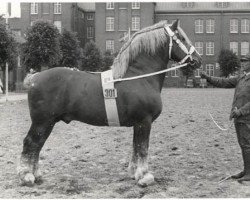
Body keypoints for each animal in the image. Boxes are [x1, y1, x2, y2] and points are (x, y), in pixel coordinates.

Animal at [17, 19, 201, 186]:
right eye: (182, 38)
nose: (197, 60)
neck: (140, 77)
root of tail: (34, 78)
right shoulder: (145, 121)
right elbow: (143, 148)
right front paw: (144, 176)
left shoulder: (138, 124)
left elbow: (136, 147)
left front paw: (134, 173)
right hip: (43, 122)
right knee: (31, 143)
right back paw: (26, 176)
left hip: (47, 123)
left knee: (37, 146)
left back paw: (36, 174)